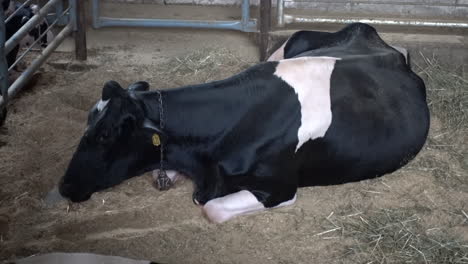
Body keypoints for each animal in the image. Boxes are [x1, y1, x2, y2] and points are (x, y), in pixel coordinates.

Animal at [57, 23, 432, 223]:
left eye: (105, 134)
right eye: (88, 124)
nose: (64, 186)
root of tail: (385, 44)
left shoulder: (278, 189)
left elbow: (211, 208)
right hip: (294, 40)